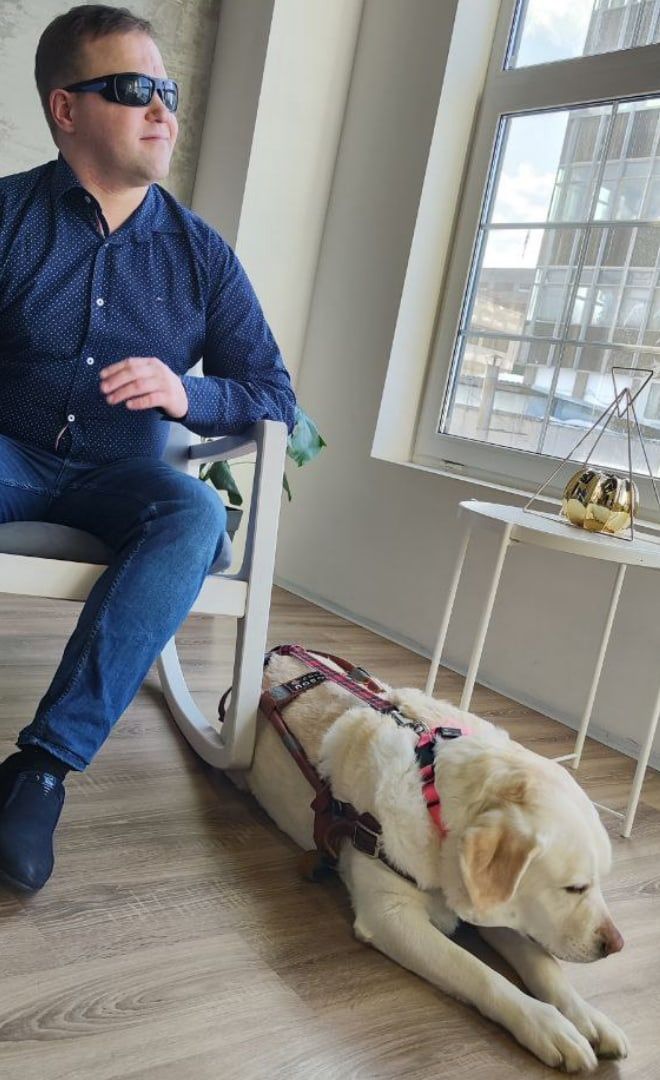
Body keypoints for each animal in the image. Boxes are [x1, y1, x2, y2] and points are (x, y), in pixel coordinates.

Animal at [231, 647, 629, 1072]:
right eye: (575, 887)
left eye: (600, 881)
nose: (617, 944)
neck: (435, 803)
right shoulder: (391, 916)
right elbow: (479, 972)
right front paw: (547, 1025)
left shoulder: (495, 909)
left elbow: (543, 965)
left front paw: (588, 1016)